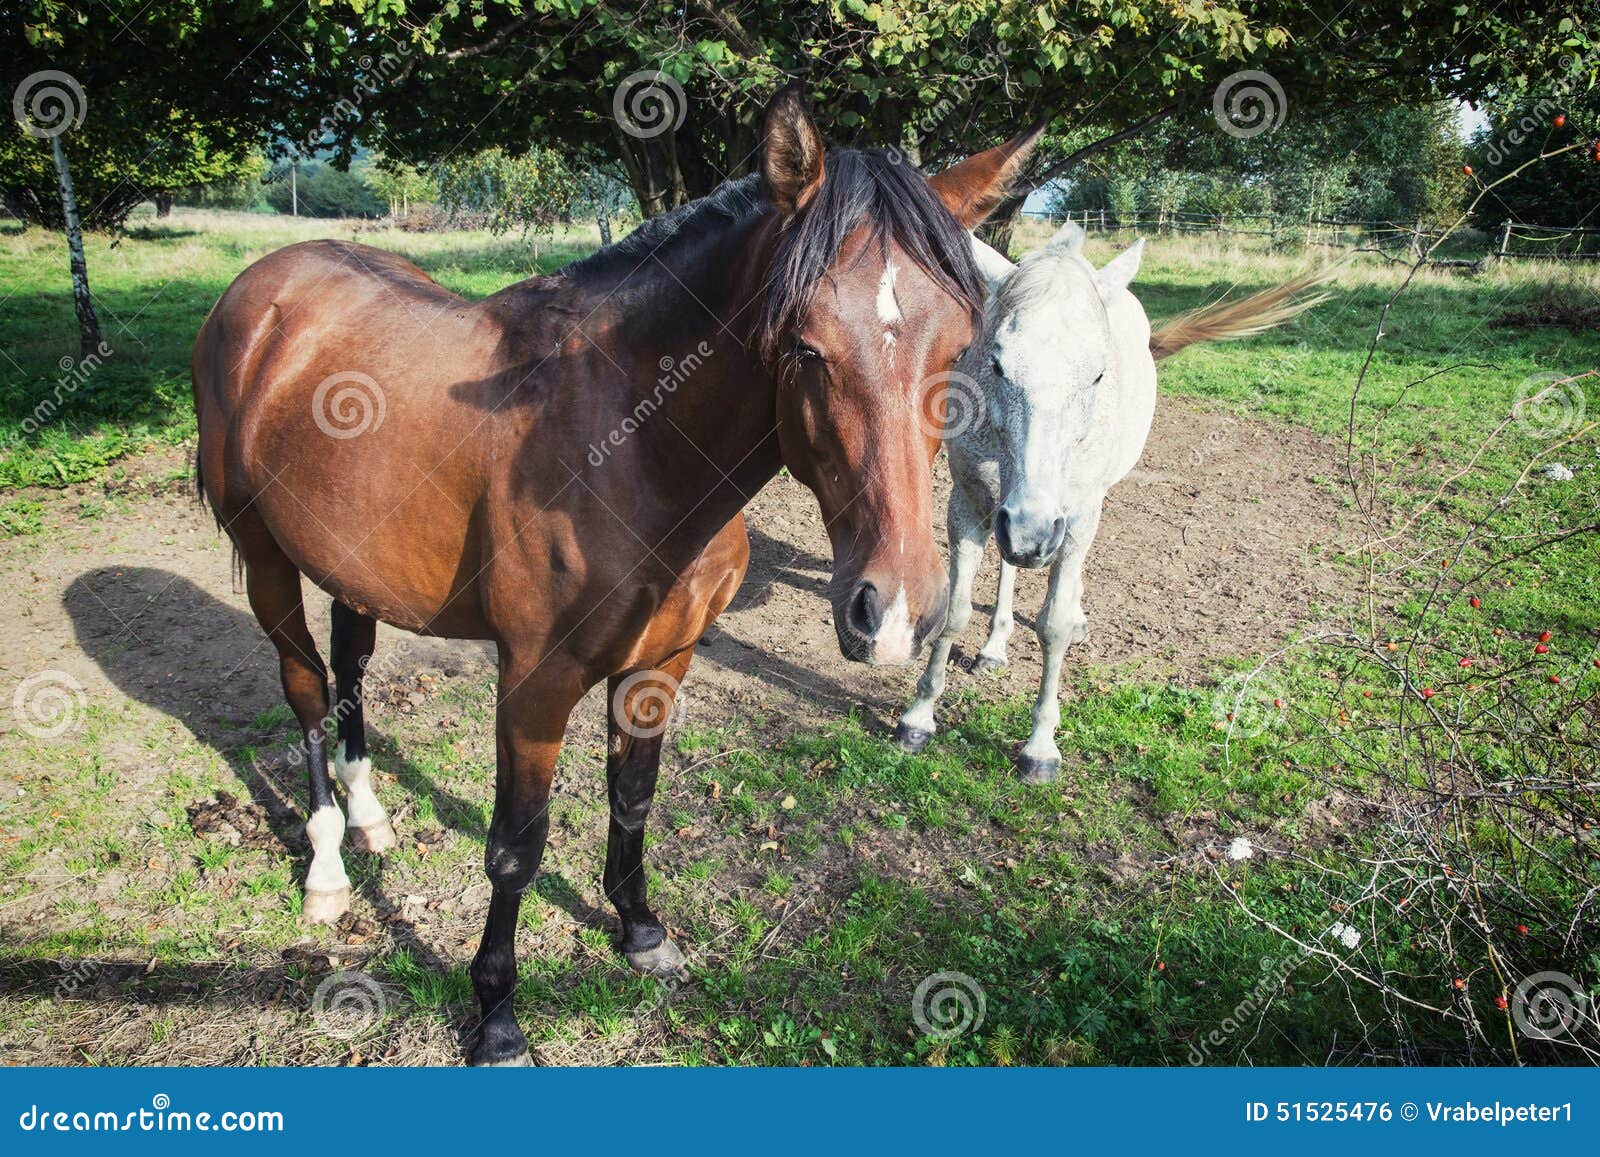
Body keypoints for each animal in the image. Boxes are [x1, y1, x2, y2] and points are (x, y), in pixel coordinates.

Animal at [192, 85, 1041, 1065]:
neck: (629, 444)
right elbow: (515, 845)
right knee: (304, 688)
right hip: (266, 559)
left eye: (960, 351)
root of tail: (259, 289)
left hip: (350, 564)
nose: (892, 611)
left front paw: (639, 930)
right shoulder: (534, 683)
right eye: (803, 346)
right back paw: (328, 864)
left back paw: (370, 819)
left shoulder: (661, 660)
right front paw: (497, 1015)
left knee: (352, 672)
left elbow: (633, 798)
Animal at [895, 221, 1331, 782]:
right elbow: (955, 611)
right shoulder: (969, 503)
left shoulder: (1073, 516)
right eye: (995, 362)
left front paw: (1040, 747)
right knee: (1010, 565)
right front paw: (919, 717)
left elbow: (1053, 626)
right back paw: (995, 645)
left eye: (1099, 374)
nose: (1033, 534)